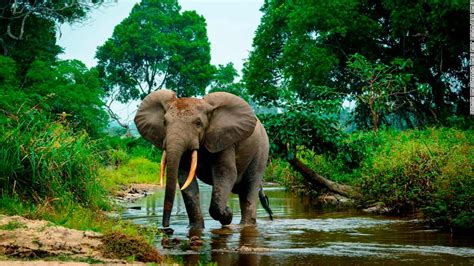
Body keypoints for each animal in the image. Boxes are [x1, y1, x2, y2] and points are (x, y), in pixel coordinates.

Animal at [134, 89, 274, 229]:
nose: (166, 226)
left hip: (262, 151)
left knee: (249, 188)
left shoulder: (225, 140)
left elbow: (226, 173)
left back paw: (245, 226)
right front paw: (195, 228)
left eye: (198, 123)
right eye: (164, 122)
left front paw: (228, 215)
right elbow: (185, 178)